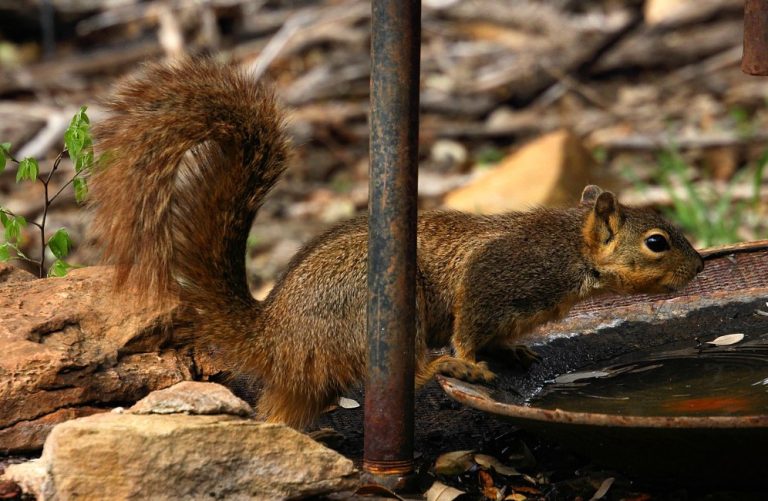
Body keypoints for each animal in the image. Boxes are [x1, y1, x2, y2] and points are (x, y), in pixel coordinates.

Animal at [90, 58, 704, 429]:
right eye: (656, 242)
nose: (699, 267)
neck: (572, 253)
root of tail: (274, 336)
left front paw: (513, 350)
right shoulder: (500, 271)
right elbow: (469, 322)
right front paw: (472, 361)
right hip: (383, 312)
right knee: (403, 374)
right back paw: (445, 370)